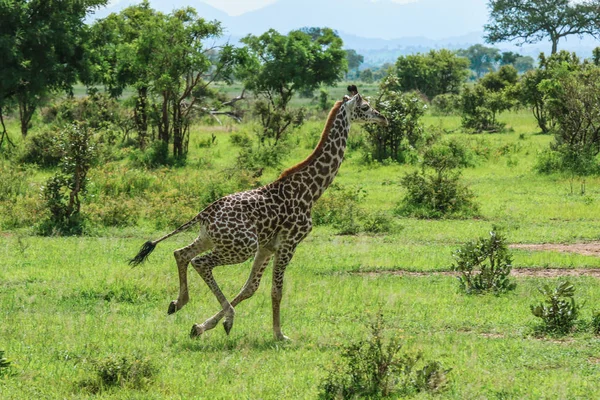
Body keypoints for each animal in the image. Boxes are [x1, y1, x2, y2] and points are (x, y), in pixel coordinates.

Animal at [129, 85, 386, 340]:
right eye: (365, 107)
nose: (382, 118)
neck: (311, 190)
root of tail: (206, 212)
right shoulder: (288, 243)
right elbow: (276, 290)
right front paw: (279, 334)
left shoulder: (267, 246)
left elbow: (250, 287)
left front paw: (202, 326)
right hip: (242, 246)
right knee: (199, 262)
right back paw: (228, 318)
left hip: (212, 239)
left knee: (180, 253)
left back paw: (178, 302)